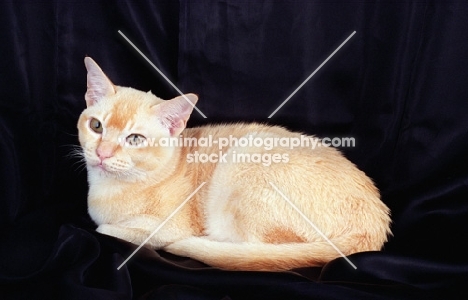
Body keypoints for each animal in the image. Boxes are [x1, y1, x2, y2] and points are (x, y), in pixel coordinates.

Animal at [77, 56, 392, 272]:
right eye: (96, 126)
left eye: (135, 139)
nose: (103, 153)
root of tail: (374, 223)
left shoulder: (165, 228)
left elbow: (106, 229)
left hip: (244, 162)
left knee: (254, 252)